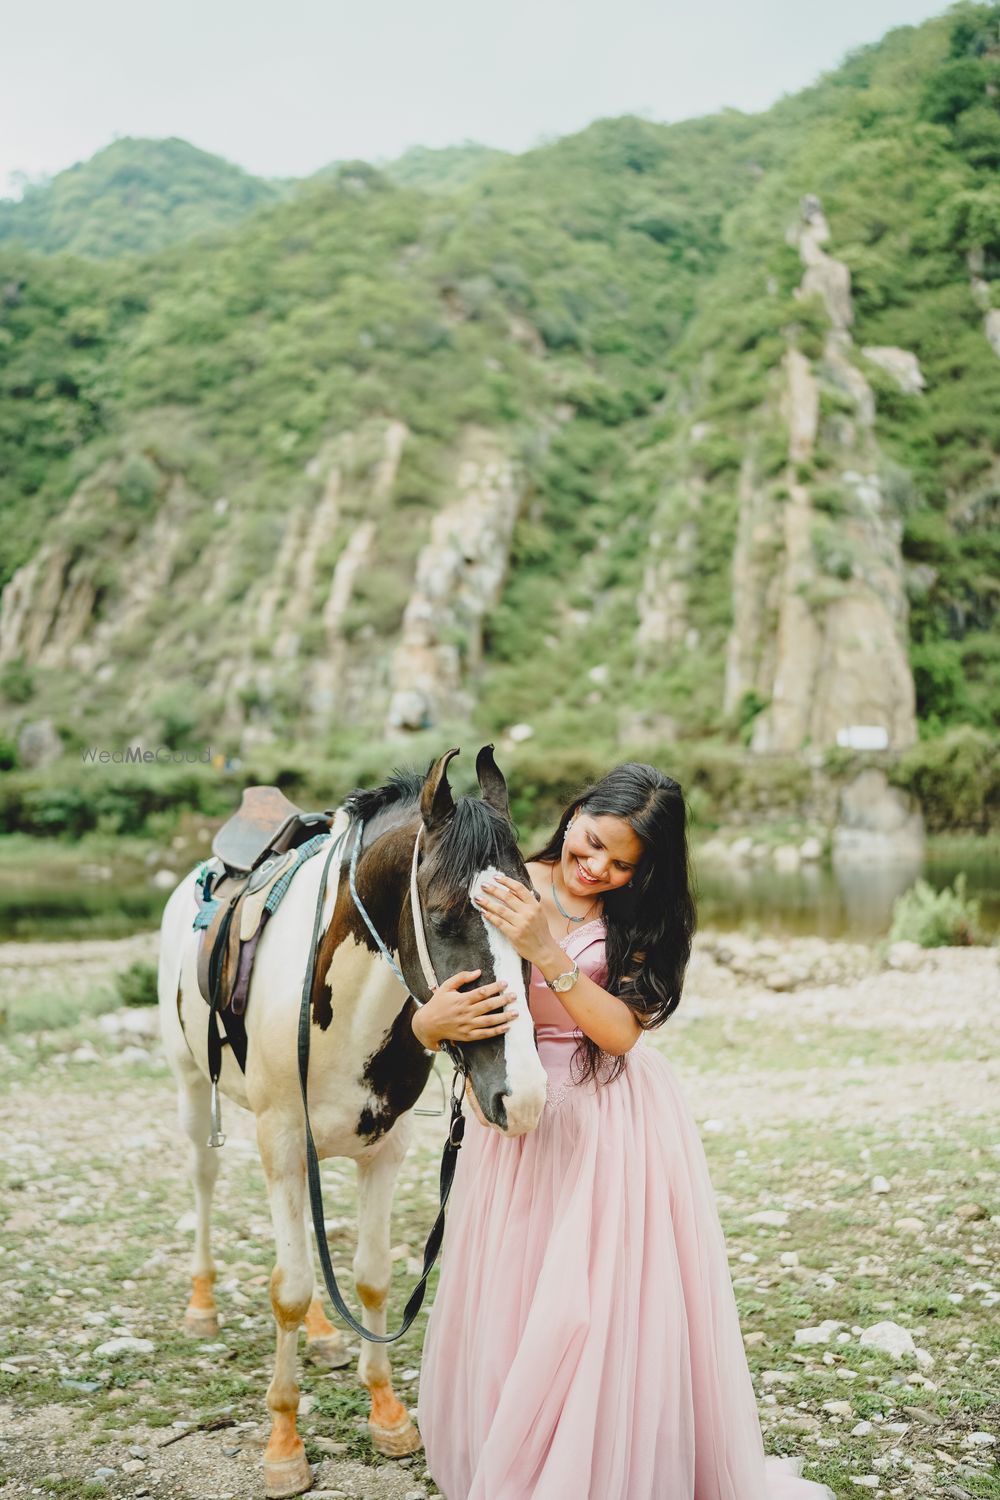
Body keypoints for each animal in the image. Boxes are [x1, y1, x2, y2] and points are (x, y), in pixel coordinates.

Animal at [156, 744, 548, 1494]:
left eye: (534, 916)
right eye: (443, 917)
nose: (526, 1097)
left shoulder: (384, 1146)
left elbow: (368, 1275)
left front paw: (388, 1413)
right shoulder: (281, 1138)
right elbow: (287, 1287)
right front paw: (284, 1445)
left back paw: (325, 1333)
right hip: (192, 1085)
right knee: (202, 1177)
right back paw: (200, 1304)